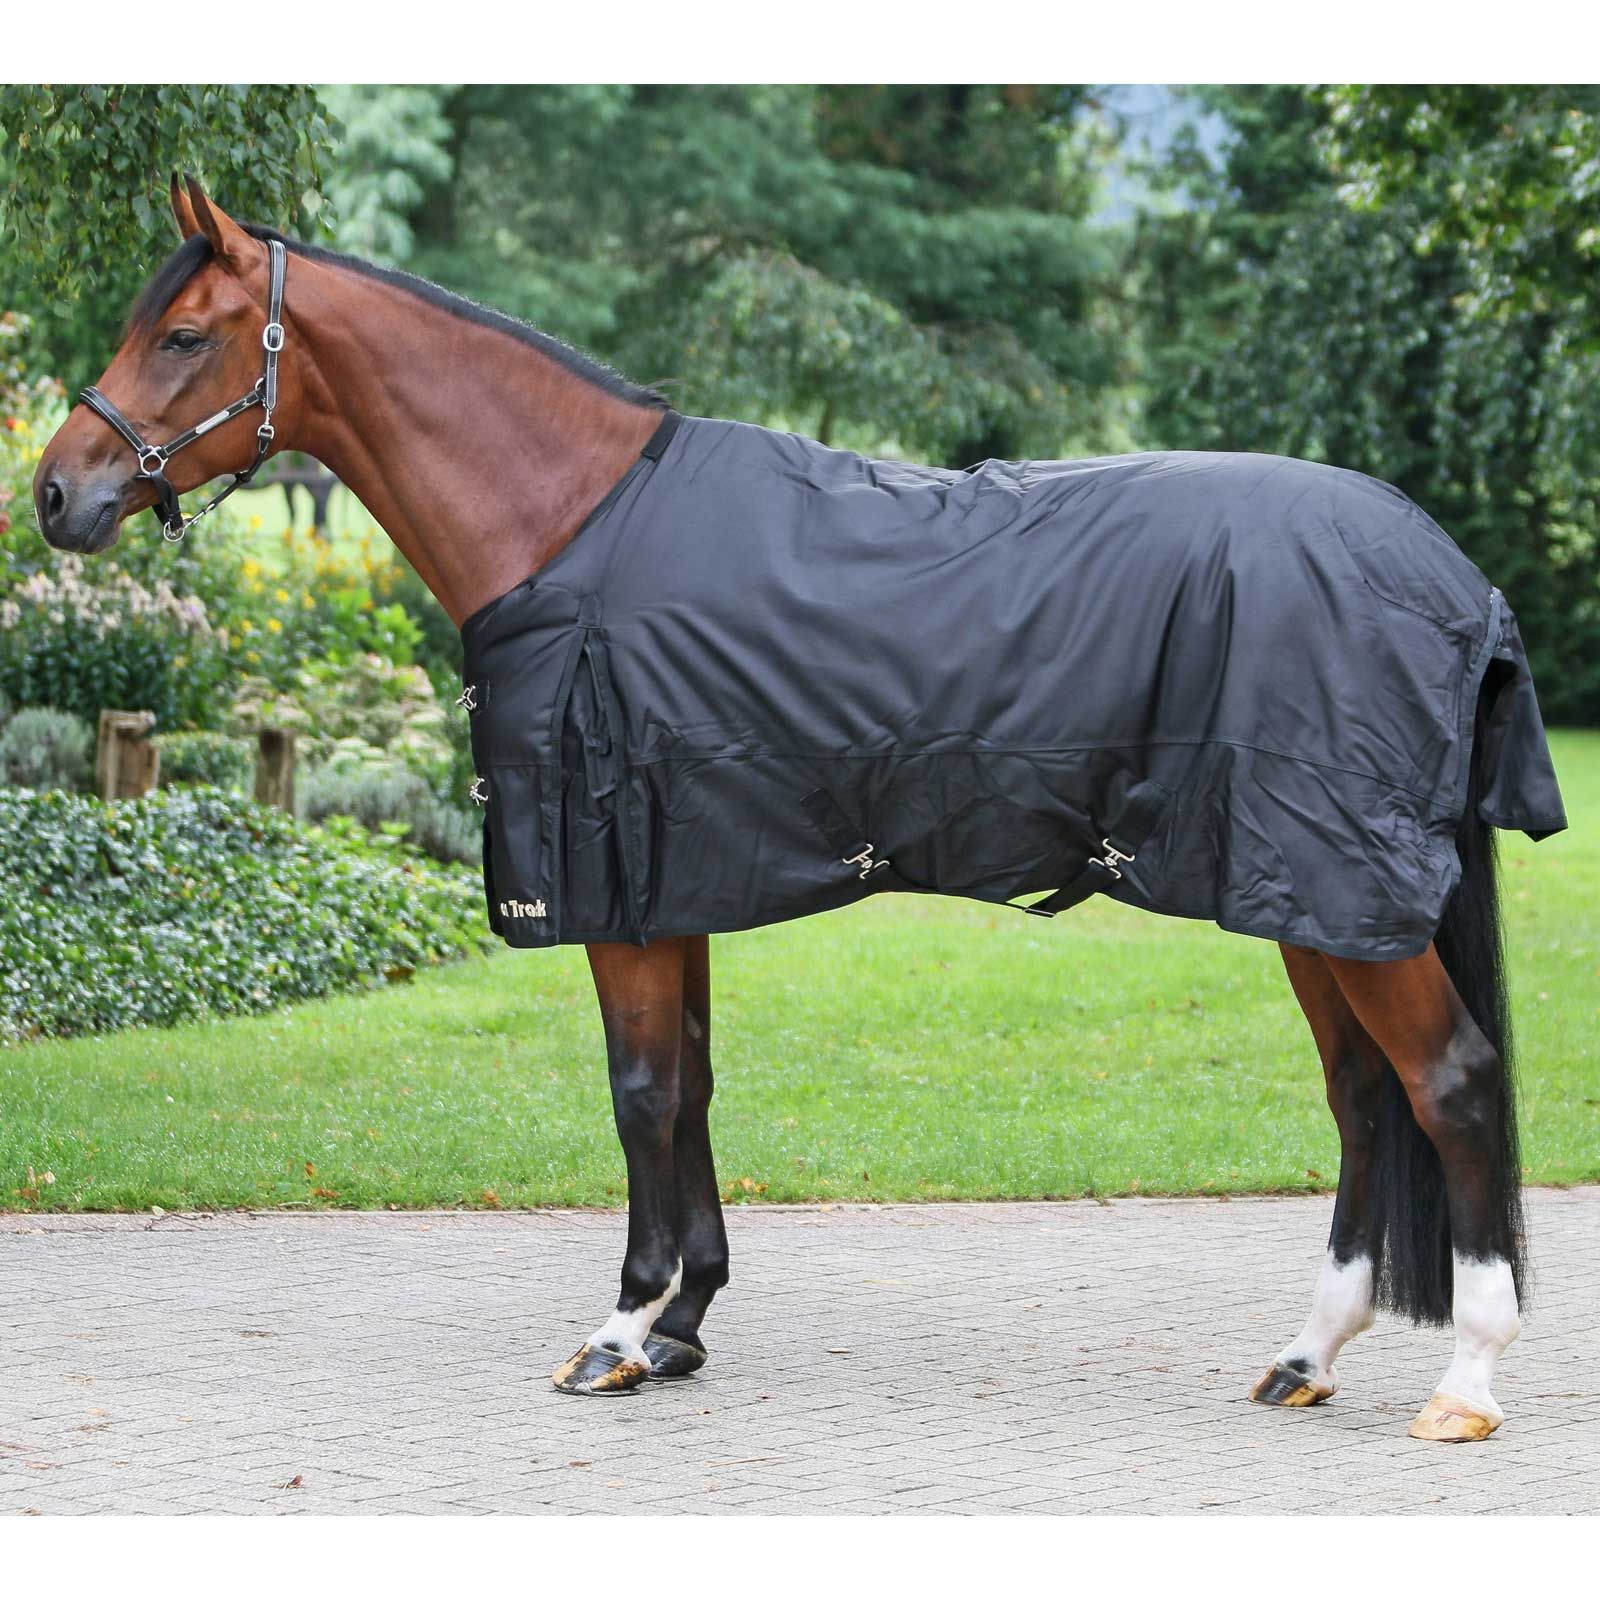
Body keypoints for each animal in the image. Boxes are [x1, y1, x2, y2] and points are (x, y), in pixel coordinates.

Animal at [34, 178, 1567, 1443]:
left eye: (184, 336)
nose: (58, 495)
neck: (568, 524)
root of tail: (1447, 571)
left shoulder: (616, 891)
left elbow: (642, 1094)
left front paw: (620, 1329)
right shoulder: (675, 879)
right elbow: (693, 1086)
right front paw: (687, 1322)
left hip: (1344, 898)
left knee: (1449, 1083)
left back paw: (1466, 1378)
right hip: (1308, 902)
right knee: (1365, 1097)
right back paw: (1307, 1353)